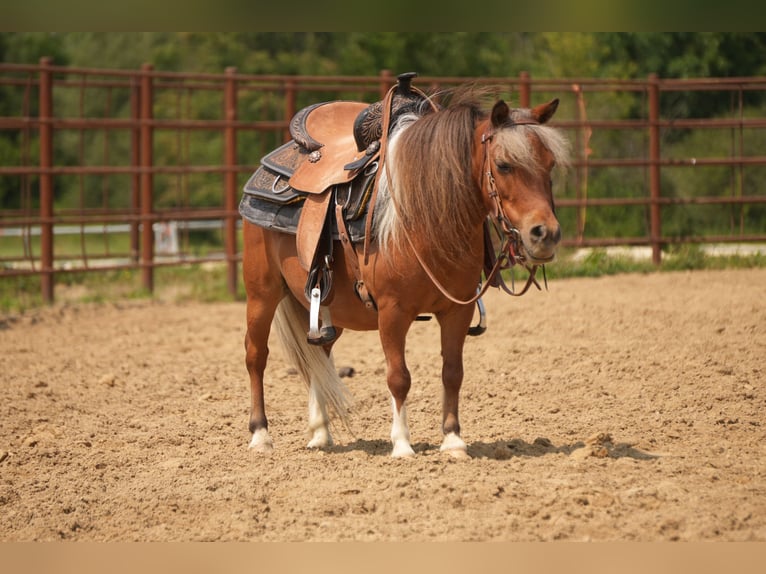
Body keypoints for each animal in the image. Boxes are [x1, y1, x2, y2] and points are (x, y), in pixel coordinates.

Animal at [241, 80, 569, 458]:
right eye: (503, 165)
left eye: (550, 164)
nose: (545, 234)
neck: (424, 216)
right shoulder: (392, 312)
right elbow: (399, 377)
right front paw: (401, 444)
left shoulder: (457, 310)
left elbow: (452, 372)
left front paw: (453, 441)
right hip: (262, 294)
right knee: (256, 355)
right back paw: (260, 435)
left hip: (327, 308)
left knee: (317, 357)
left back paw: (321, 434)